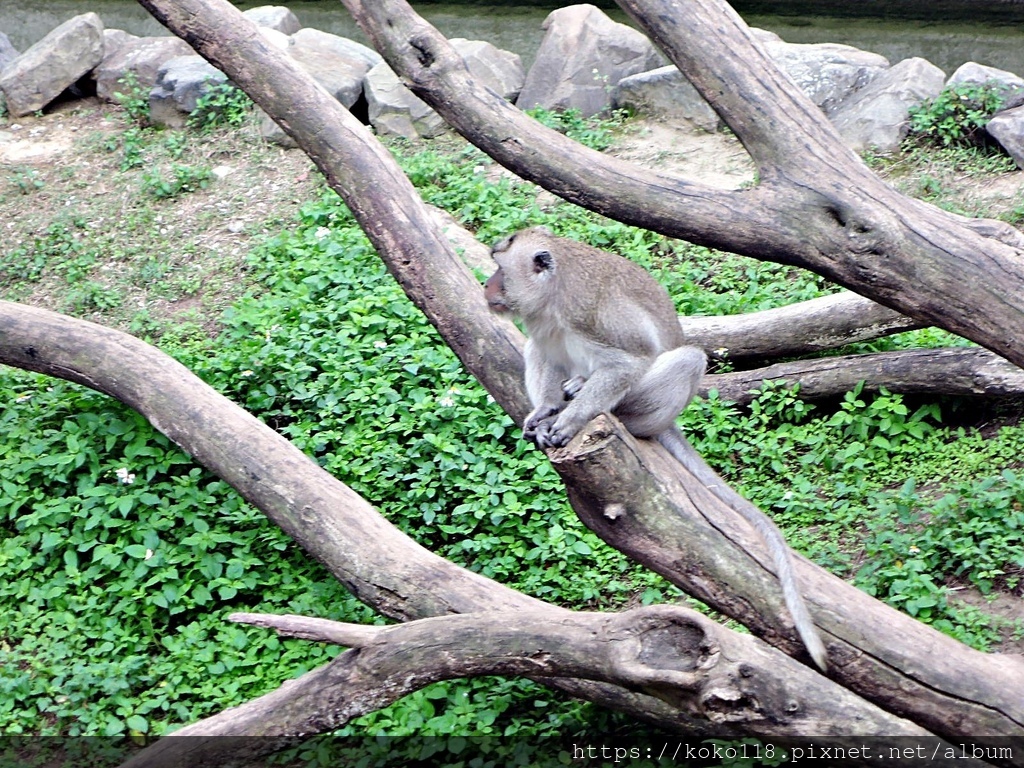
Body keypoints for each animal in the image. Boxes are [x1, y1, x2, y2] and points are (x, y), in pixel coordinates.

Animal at [483, 225, 827, 671]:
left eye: (500, 268)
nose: (486, 285)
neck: (552, 296)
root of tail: (667, 422)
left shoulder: (590, 314)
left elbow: (629, 361)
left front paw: (571, 420)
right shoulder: (541, 324)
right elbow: (542, 352)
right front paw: (544, 412)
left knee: (685, 360)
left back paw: (600, 403)